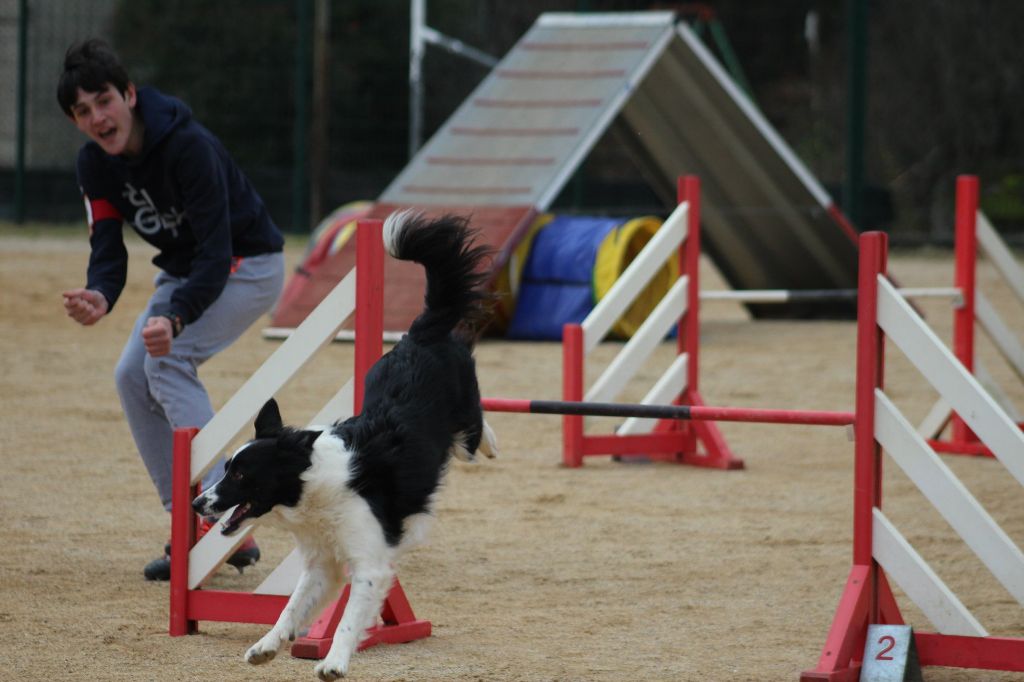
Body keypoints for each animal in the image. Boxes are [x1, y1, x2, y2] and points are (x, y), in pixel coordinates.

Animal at [193, 209, 497, 675]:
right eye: (227, 468)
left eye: (241, 474)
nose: (197, 503)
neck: (313, 485)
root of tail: (420, 334)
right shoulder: (322, 562)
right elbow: (291, 606)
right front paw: (266, 646)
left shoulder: (370, 562)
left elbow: (348, 618)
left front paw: (334, 663)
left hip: (464, 423)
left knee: (476, 427)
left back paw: (490, 444)